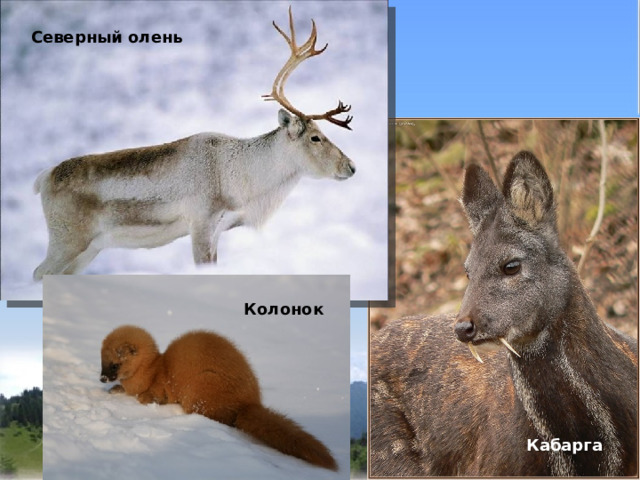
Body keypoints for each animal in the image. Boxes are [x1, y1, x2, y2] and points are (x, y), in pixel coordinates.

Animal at [33, 7, 355, 280]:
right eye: (315, 137)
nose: (350, 165)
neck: (240, 177)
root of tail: (43, 178)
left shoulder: (218, 229)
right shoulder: (201, 223)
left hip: (89, 249)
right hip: (67, 240)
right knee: (39, 273)